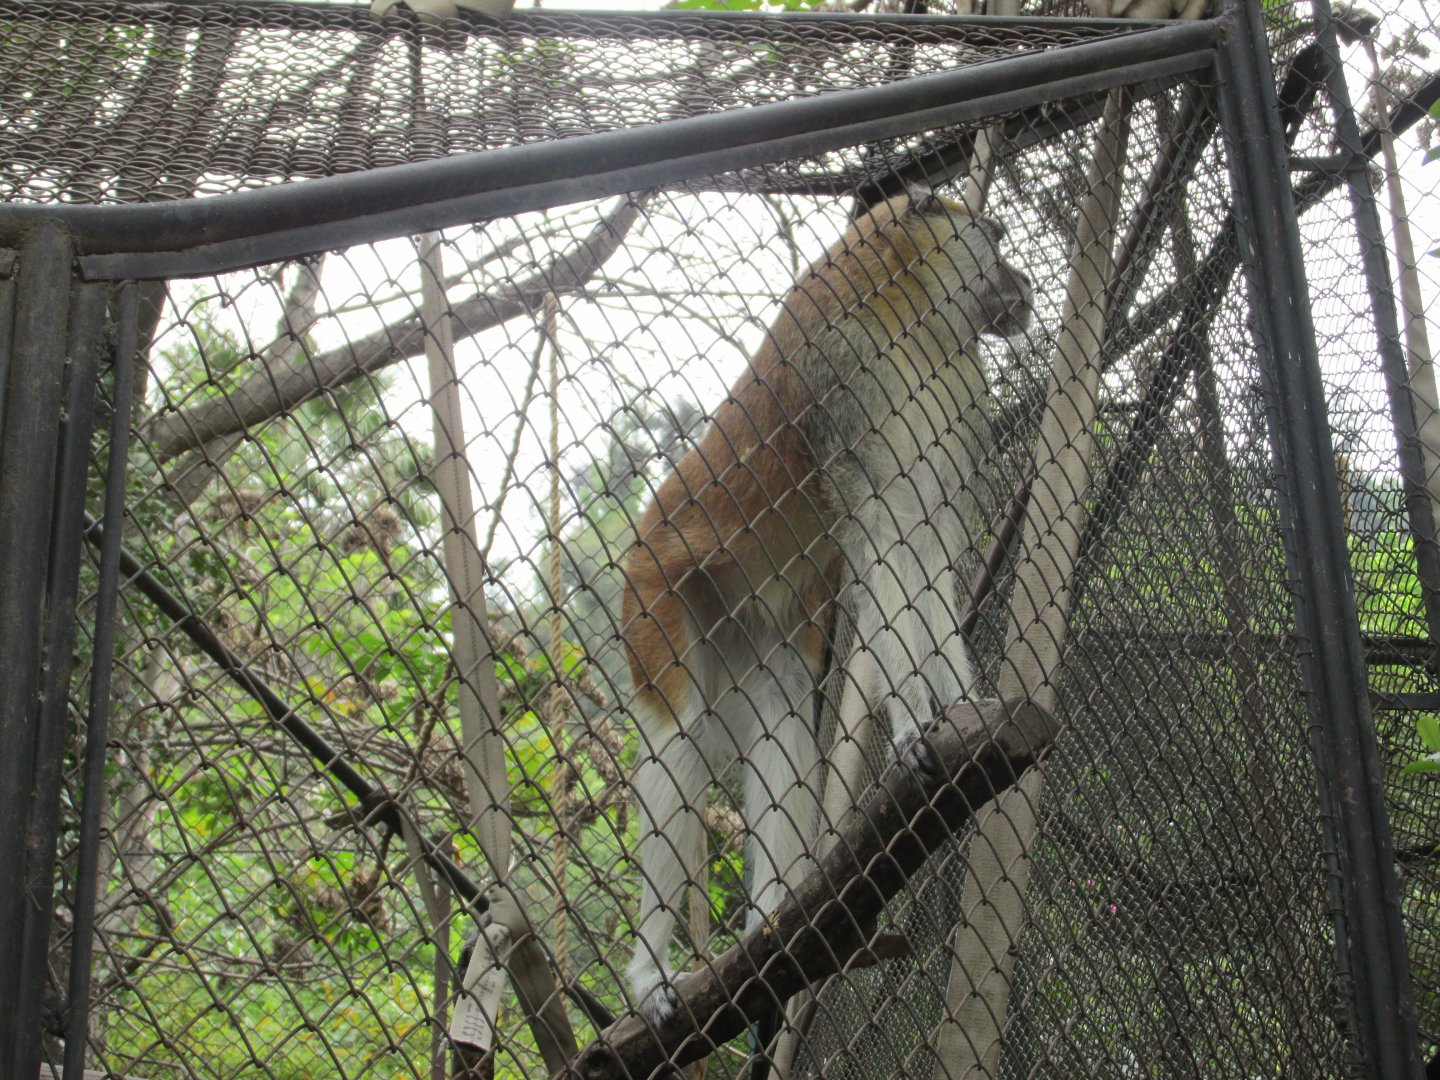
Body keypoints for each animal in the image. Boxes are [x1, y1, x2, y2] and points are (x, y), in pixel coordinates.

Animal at [620, 187, 1034, 1023]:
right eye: (995, 235)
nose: (1023, 281)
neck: (905, 301)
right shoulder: (846, 378)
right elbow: (883, 539)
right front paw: (912, 729)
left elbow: (926, 548)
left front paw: (965, 708)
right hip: (658, 595)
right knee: (677, 737)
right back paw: (652, 976)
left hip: (753, 616)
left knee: (783, 717)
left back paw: (776, 920)